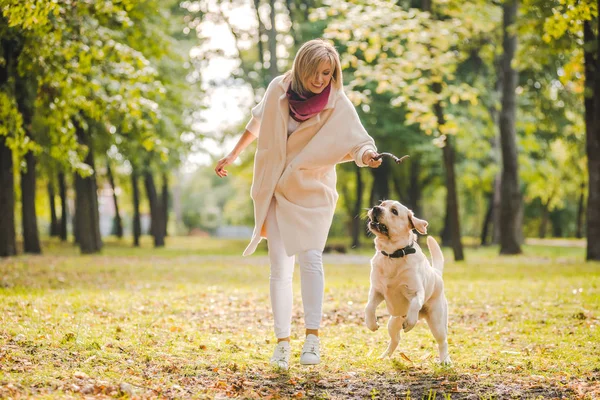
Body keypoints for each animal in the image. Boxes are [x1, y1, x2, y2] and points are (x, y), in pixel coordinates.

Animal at [360, 202, 450, 364]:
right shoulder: (376, 291)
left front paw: (410, 323)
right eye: (382, 204)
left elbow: (414, 305)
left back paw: (445, 360)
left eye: (394, 211)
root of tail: (437, 274)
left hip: (437, 322)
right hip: (392, 323)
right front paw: (371, 323)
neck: (392, 255)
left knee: (443, 342)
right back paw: (384, 356)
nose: (376, 208)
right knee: (395, 340)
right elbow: (369, 307)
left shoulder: (416, 291)